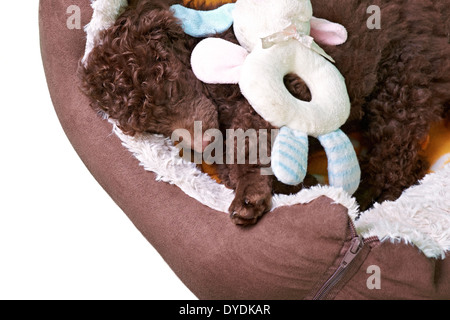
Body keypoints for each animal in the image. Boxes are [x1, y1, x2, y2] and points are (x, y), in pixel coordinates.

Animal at [80, 0, 450, 225]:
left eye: (171, 89)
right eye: (152, 127)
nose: (199, 145)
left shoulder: (282, 88)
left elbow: (249, 139)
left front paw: (251, 193)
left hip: (403, 76)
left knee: (397, 158)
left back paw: (366, 199)